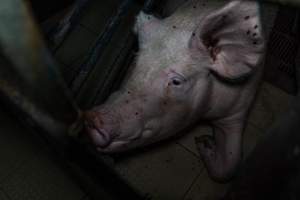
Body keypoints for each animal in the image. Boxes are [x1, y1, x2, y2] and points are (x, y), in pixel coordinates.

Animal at [84, 0, 264, 181]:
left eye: (176, 81)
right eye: (135, 61)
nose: (93, 118)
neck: (204, 114)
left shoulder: (238, 107)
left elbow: (229, 165)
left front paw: (202, 140)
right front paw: (203, 140)